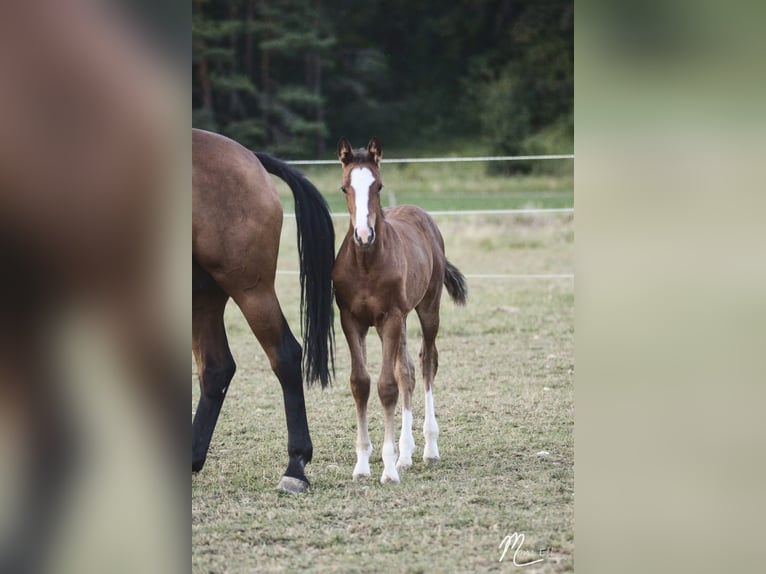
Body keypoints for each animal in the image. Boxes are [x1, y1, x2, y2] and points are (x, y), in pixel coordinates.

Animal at [192, 130, 336, 496]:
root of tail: (251, 158)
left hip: (250, 289)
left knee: (284, 355)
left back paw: (295, 467)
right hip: (203, 294)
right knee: (215, 368)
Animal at [332, 137, 468, 484]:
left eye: (378, 186)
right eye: (344, 187)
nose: (364, 235)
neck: (366, 264)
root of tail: (421, 215)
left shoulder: (390, 318)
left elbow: (387, 386)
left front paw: (389, 468)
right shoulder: (351, 320)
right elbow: (361, 383)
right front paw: (363, 465)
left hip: (427, 308)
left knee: (426, 363)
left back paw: (428, 448)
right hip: (403, 320)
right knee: (406, 370)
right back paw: (407, 453)